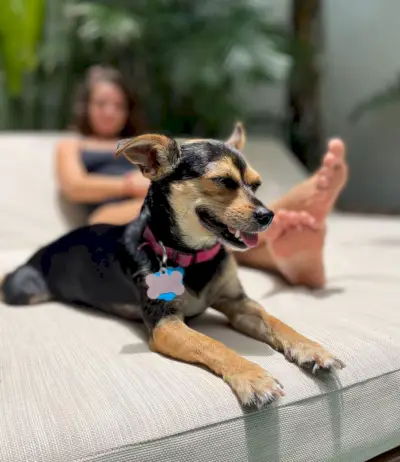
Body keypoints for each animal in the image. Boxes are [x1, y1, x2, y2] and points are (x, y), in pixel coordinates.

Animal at [0, 122, 344, 408]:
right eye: (222, 181)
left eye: (256, 185)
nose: (268, 215)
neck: (192, 254)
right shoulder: (166, 324)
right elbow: (213, 343)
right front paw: (251, 376)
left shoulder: (240, 304)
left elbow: (276, 322)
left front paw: (312, 348)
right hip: (25, 291)